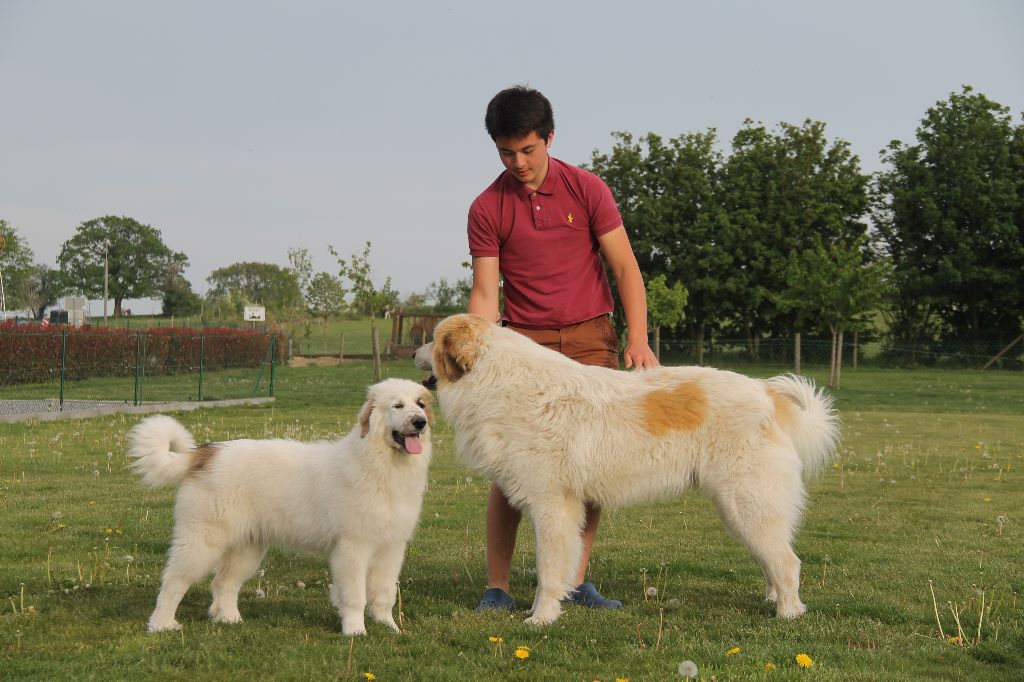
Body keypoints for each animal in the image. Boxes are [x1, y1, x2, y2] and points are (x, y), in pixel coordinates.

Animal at [128, 378, 433, 635]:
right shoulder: (352, 548)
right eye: (397, 405)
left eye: (420, 403)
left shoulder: (391, 548)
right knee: (173, 581)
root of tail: (202, 455)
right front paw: (356, 631)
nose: (420, 422)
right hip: (202, 540)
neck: (379, 463)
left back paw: (230, 620)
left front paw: (389, 627)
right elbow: (354, 595)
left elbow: (383, 594)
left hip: (247, 548)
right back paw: (161, 625)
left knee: (223, 583)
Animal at [415, 314, 839, 625]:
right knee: (774, 558)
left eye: (433, 340)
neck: (499, 379)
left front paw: (541, 618)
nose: (416, 352)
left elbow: (548, 568)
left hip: (748, 504)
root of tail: (766, 393)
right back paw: (775, 599)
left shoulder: (552, 507)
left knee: (787, 561)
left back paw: (788, 613)